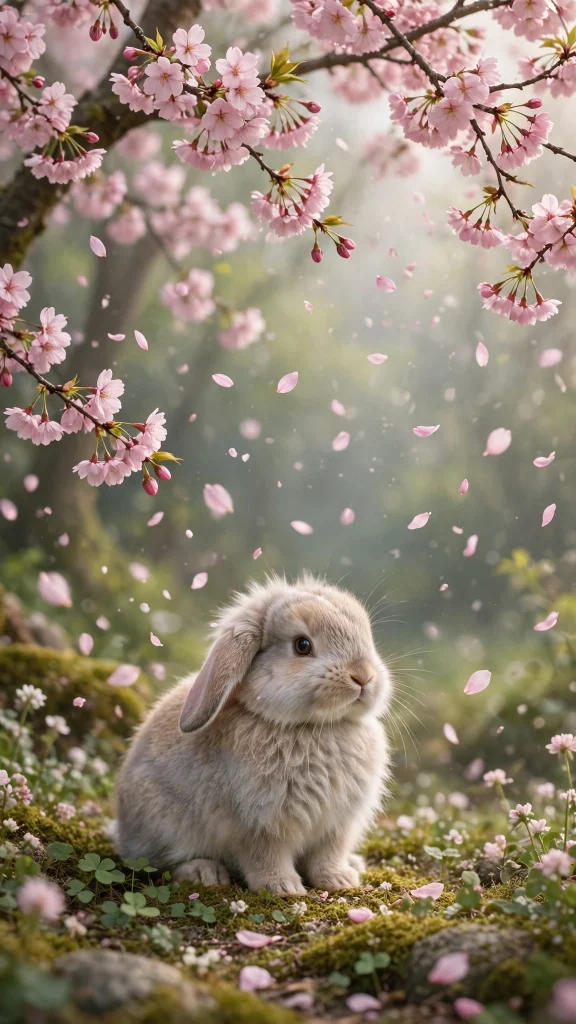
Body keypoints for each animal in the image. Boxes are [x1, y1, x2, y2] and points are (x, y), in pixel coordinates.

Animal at [113, 573, 392, 894]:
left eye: (367, 634)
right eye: (302, 645)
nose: (363, 676)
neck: (313, 727)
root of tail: (122, 829)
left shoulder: (336, 825)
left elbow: (328, 856)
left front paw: (339, 881)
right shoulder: (257, 826)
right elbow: (265, 857)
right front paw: (283, 887)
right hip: (164, 824)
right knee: (163, 863)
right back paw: (204, 873)